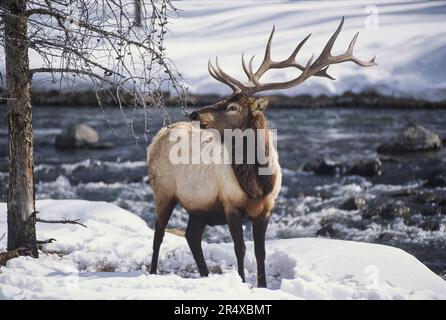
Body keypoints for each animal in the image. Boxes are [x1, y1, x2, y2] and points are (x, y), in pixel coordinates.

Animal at [148, 17, 374, 288]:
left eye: (232, 106)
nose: (194, 113)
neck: (257, 185)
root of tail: (158, 136)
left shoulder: (267, 208)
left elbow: (260, 251)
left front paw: (263, 285)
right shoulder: (230, 205)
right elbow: (240, 249)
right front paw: (242, 282)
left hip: (198, 207)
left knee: (192, 236)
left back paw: (204, 275)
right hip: (163, 191)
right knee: (159, 232)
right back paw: (152, 272)